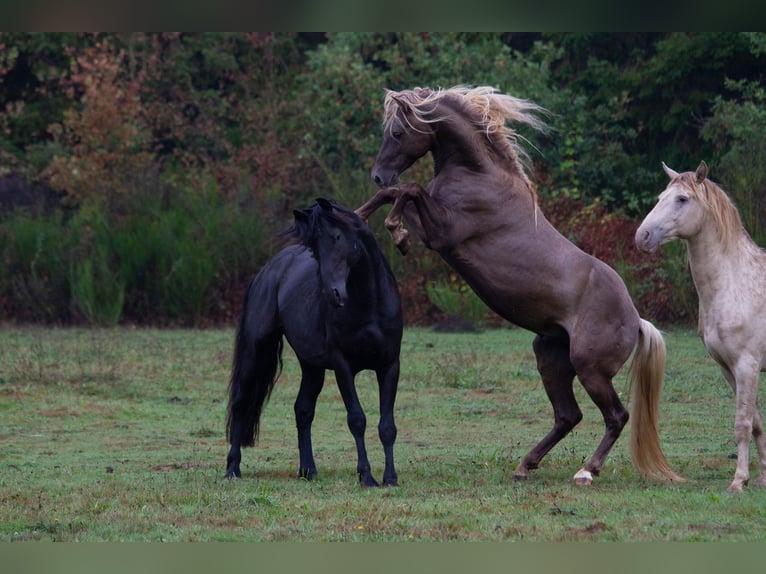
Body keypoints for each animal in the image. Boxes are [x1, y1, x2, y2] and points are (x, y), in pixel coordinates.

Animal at [225, 198, 404, 486]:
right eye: (316, 249)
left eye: (338, 237)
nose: (333, 294)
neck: (369, 304)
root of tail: (269, 270)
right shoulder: (343, 366)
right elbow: (357, 419)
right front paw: (366, 476)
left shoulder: (389, 366)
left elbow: (387, 426)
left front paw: (390, 478)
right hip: (257, 349)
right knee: (242, 402)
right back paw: (232, 468)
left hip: (312, 366)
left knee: (303, 408)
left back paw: (308, 470)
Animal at [358, 86, 684, 486]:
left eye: (398, 132)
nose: (378, 175)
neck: (479, 174)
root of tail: (636, 320)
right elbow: (397, 194)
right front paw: (359, 215)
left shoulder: (440, 233)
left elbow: (409, 190)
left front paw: (397, 233)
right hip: (550, 356)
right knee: (568, 415)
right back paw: (525, 465)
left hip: (590, 369)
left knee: (615, 416)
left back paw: (586, 471)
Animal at [636, 162, 766, 496]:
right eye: (661, 196)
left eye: (682, 199)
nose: (642, 237)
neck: (734, 281)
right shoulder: (728, 368)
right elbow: (757, 423)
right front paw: (760, 478)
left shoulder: (747, 366)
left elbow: (742, 424)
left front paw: (738, 481)